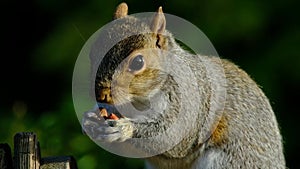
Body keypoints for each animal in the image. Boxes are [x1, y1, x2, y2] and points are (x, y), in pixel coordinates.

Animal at [81, 2, 286, 169]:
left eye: (138, 62)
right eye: (92, 53)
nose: (101, 94)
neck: (139, 100)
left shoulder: (190, 104)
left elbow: (172, 140)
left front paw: (124, 129)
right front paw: (88, 120)